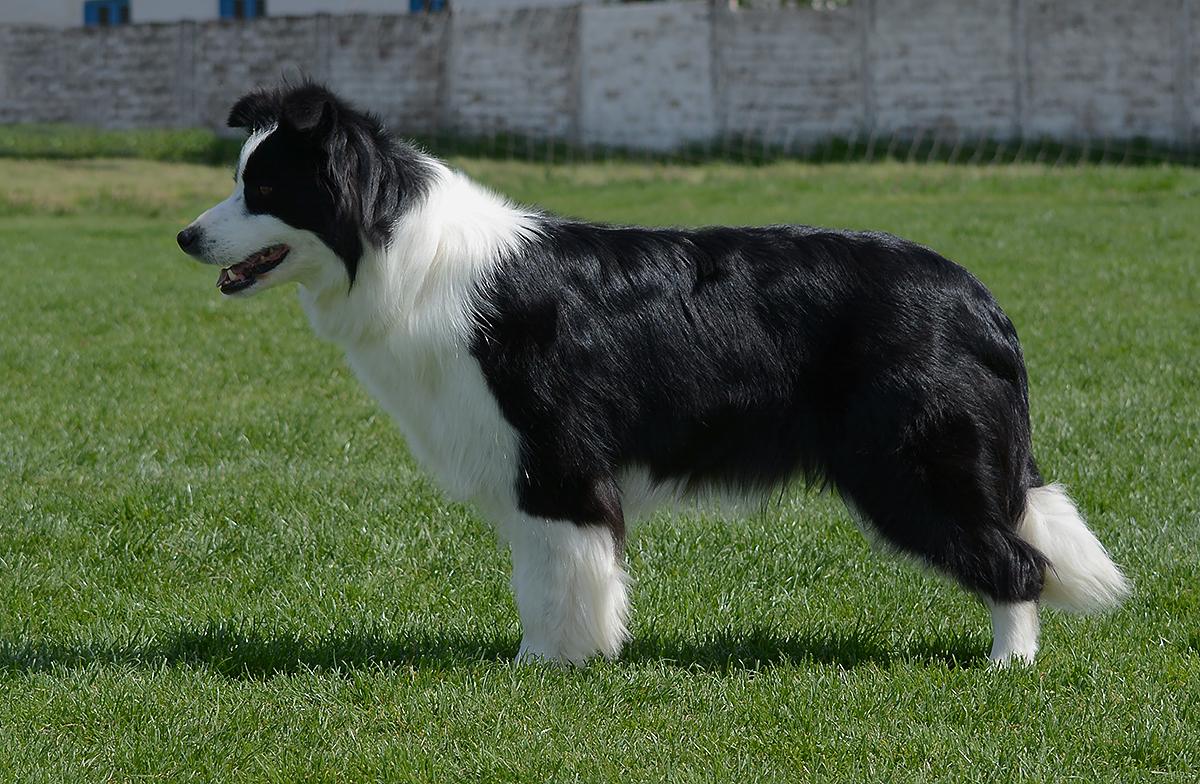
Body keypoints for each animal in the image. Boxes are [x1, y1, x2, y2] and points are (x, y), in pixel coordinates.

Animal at [175, 84, 1123, 662]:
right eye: (240, 180)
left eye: (264, 189)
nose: (184, 237)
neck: (397, 247)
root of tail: (979, 298)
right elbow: (542, 574)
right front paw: (549, 658)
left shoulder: (554, 460)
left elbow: (559, 574)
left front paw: (552, 663)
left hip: (909, 463)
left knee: (1018, 561)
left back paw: (1007, 663)